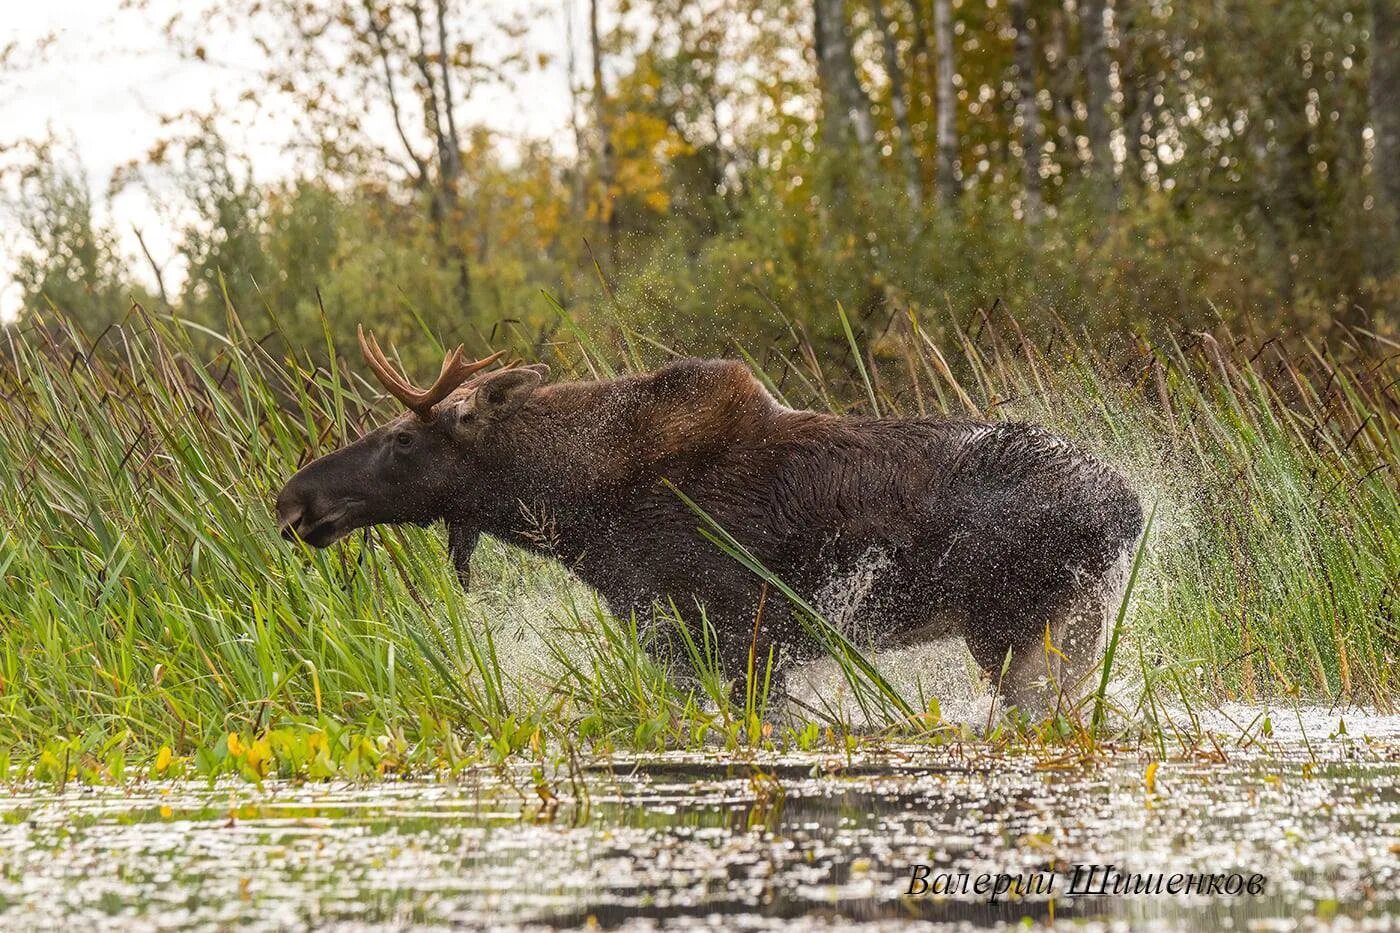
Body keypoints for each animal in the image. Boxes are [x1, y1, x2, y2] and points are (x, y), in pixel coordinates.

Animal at [278, 330, 1142, 714]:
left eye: (401, 438)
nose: (293, 502)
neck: (575, 507)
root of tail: (1131, 508)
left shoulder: (729, 640)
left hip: (1015, 630)